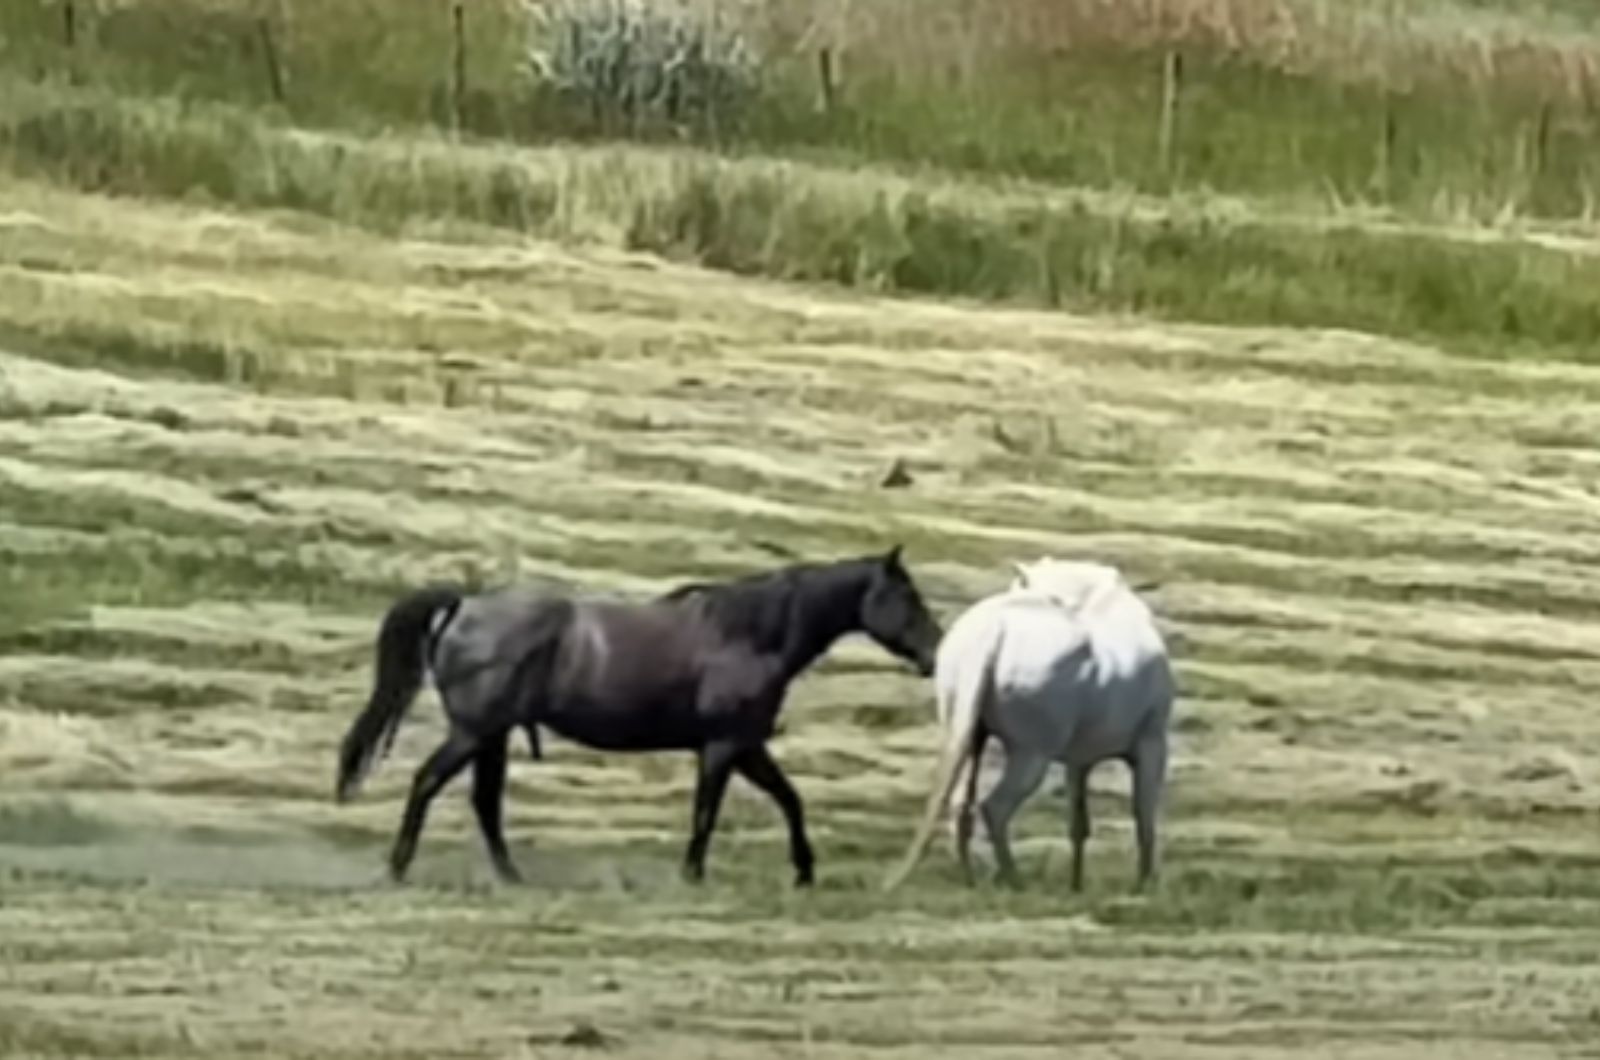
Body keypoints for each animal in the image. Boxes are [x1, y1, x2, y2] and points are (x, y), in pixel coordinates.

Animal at [334, 547, 934, 890]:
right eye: (906, 595)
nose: (934, 652)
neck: (749, 634)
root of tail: (466, 605)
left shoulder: (746, 747)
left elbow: (790, 800)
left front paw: (804, 870)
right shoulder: (723, 747)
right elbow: (706, 815)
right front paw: (693, 876)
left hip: (491, 737)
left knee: (485, 804)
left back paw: (511, 877)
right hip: (473, 734)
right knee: (427, 783)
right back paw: (399, 868)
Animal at [883, 560, 1171, 890]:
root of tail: (995, 630)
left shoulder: (1079, 759)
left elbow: (1079, 825)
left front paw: (1076, 887)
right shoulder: (1151, 745)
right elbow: (1144, 816)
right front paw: (1143, 885)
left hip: (969, 735)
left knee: (960, 804)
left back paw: (970, 880)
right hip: (1031, 753)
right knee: (994, 808)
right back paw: (1015, 881)